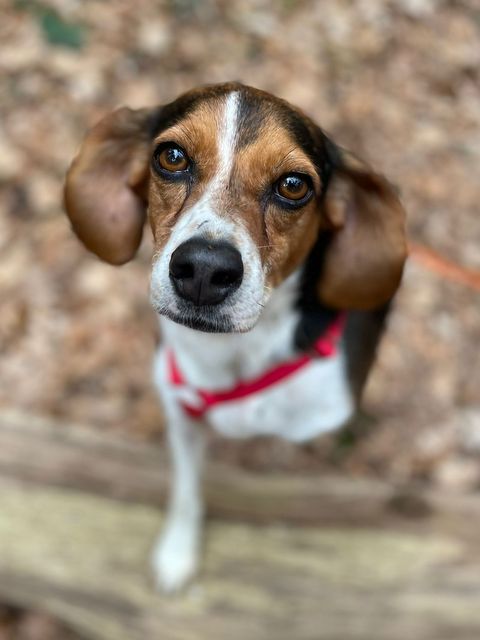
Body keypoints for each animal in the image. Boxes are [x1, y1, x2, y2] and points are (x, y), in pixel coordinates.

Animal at [64, 82, 407, 592]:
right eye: (171, 156)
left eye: (293, 185)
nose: (204, 269)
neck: (238, 351)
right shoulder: (182, 417)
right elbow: (187, 492)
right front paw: (178, 552)